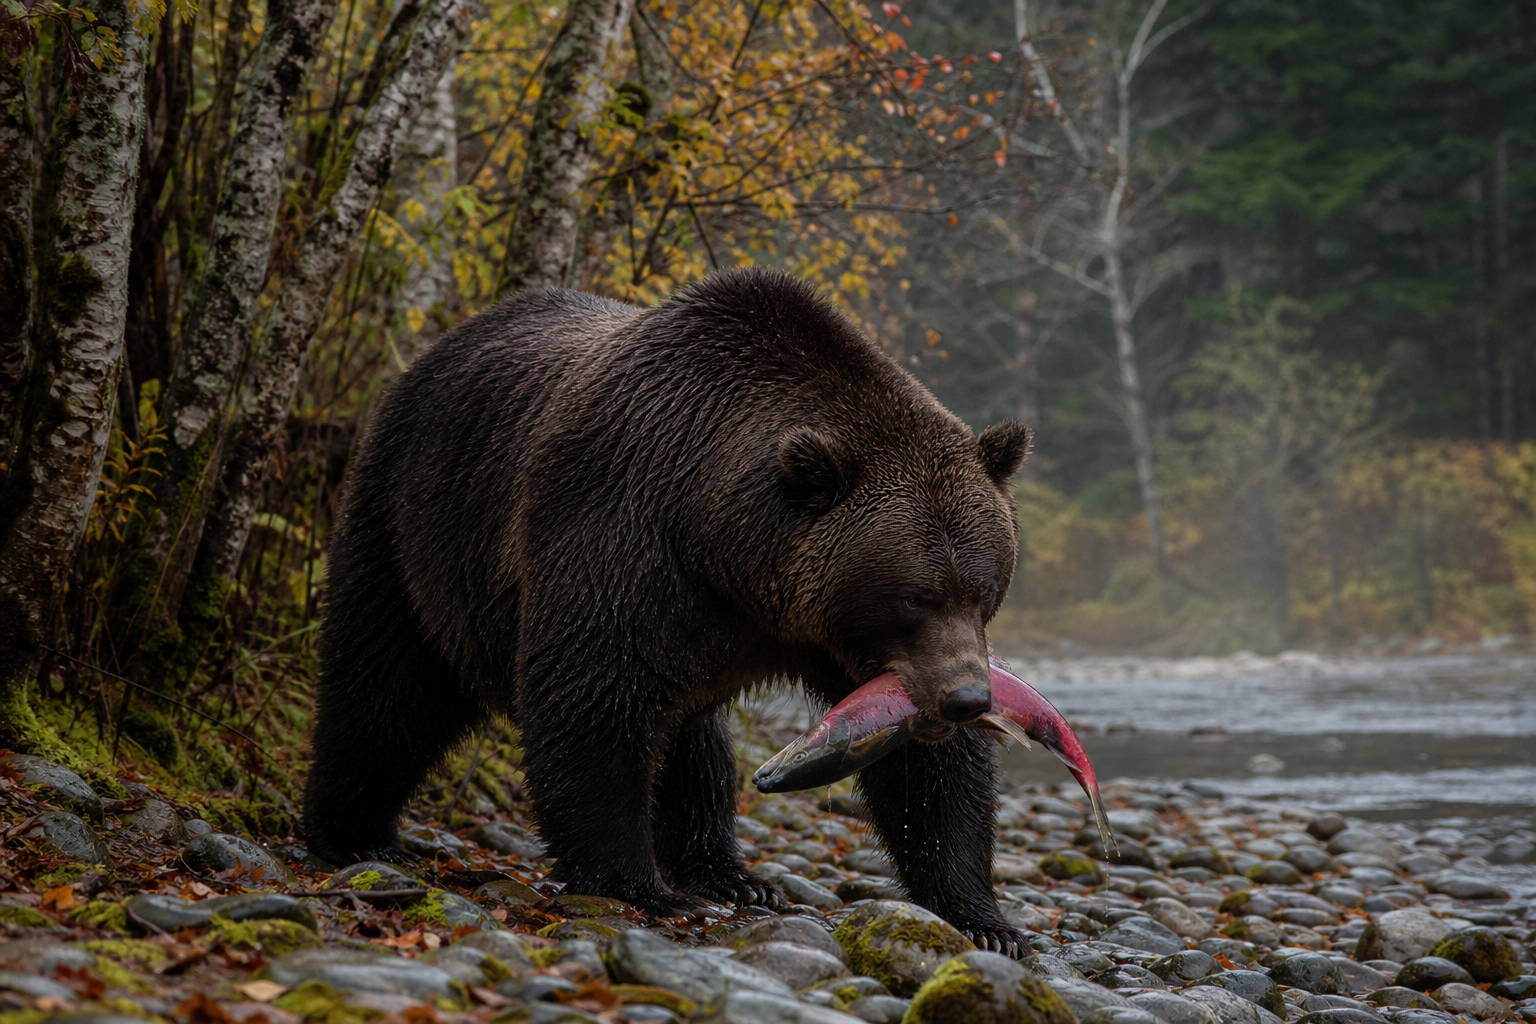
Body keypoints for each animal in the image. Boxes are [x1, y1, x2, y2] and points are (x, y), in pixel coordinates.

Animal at [303, 268, 1033, 954]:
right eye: (914, 596)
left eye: (983, 589)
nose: (967, 699)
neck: (721, 544)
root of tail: (442, 346)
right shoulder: (621, 534)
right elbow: (592, 701)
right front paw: (636, 884)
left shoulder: (823, 639)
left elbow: (927, 772)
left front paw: (986, 920)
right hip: (415, 520)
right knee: (384, 682)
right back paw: (348, 832)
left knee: (693, 743)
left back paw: (732, 875)